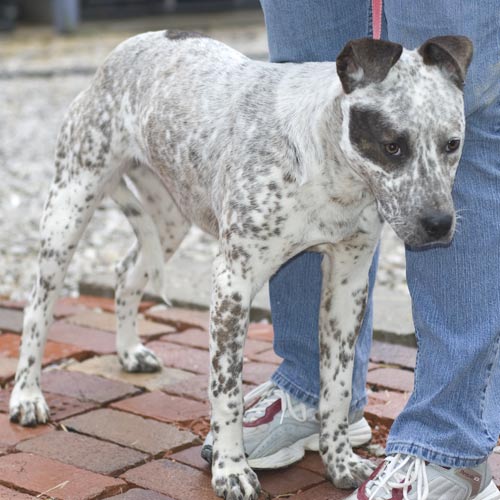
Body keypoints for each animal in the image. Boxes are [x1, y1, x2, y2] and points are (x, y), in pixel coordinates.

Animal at [10, 31, 472, 500]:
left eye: (452, 144)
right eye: (392, 145)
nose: (439, 224)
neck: (329, 172)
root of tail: (124, 49)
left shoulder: (348, 285)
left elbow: (337, 391)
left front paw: (340, 462)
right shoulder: (233, 283)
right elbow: (227, 392)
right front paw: (230, 469)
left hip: (169, 219)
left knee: (127, 274)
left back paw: (129, 351)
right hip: (69, 206)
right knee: (37, 308)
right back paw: (27, 395)